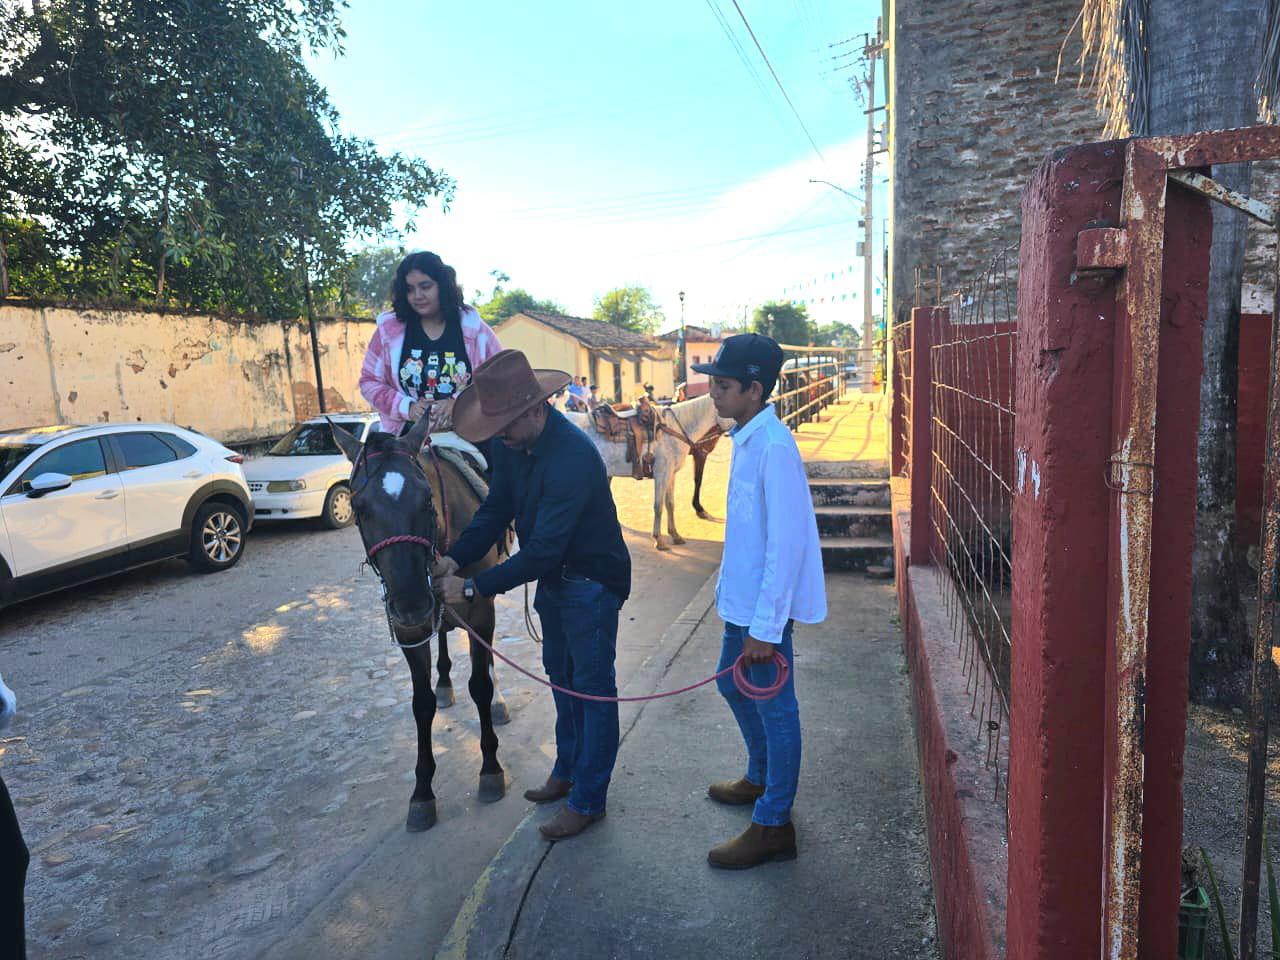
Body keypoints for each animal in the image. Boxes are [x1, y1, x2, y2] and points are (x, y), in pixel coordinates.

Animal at [328, 415, 506, 832]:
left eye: (426, 499)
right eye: (358, 507)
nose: (410, 601)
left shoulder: (480, 608)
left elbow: (480, 685)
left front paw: (490, 767)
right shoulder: (411, 630)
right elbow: (420, 704)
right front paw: (422, 791)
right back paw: (443, 681)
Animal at [565, 393, 733, 550]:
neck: (672, 429)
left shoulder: (670, 474)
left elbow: (670, 504)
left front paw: (675, 535)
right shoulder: (662, 473)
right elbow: (658, 506)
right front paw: (659, 540)